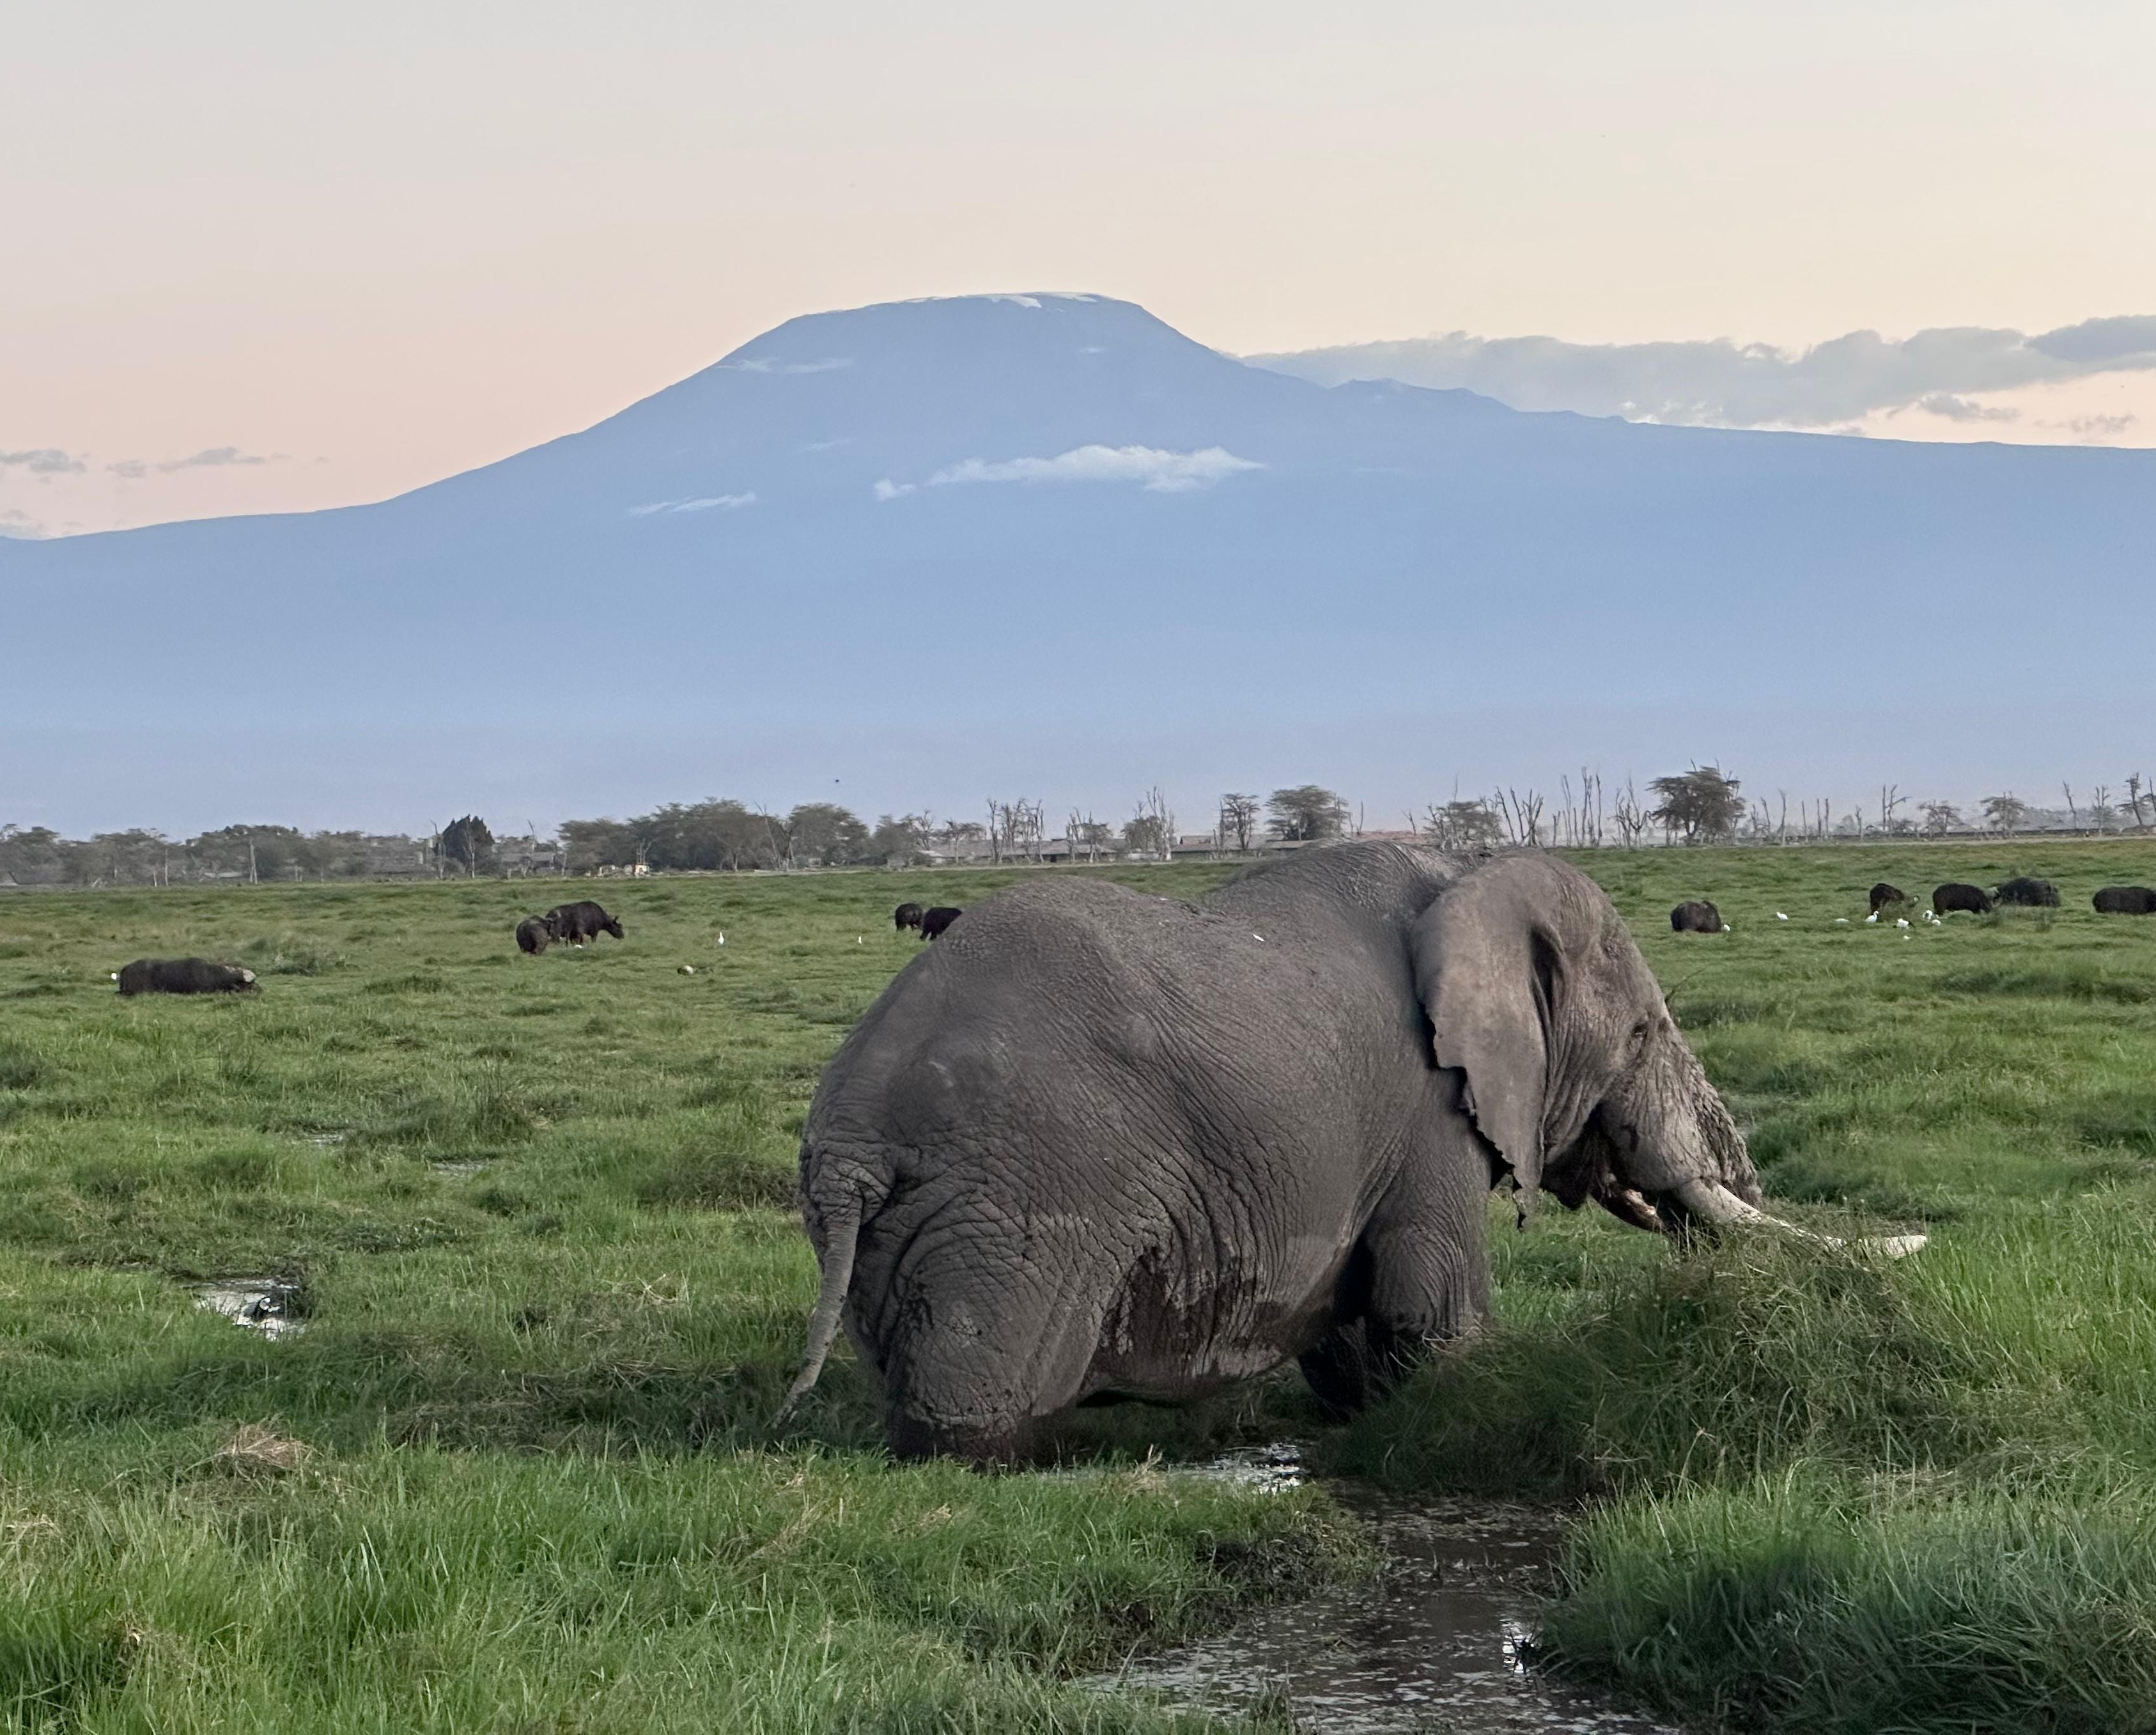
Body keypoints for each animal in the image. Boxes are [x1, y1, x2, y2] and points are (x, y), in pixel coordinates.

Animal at [784, 844, 1764, 1462]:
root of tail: (851, 1139)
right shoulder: (1430, 1109)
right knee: (975, 1407)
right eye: (1640, 1033)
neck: (1472, 873)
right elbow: (1435, 1314)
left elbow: (1352, 1324)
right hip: (1014, 1212)